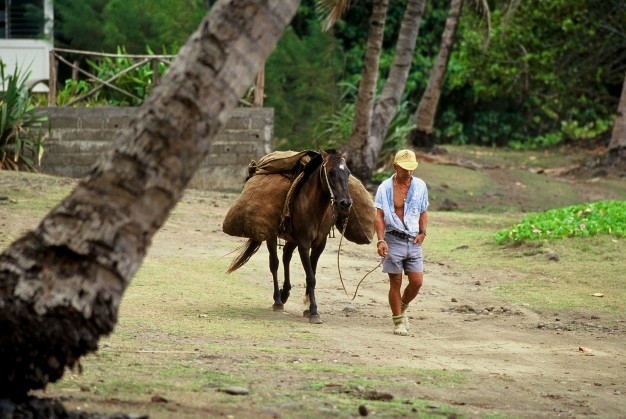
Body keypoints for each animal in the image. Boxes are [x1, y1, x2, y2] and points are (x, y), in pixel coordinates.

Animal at [225, 151, 354, 324]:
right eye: (331, 172)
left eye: (348, 173)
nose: (345, 203)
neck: (314, 208)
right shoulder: (304, 244)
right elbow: (310, 277)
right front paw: (314, 312)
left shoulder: (319, 244)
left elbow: (311, 273)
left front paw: (307, 307)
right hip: (272, 235)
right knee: (274, 263)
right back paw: (278, 300)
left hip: (292, 239)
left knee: (286, 256)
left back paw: (285, 292)